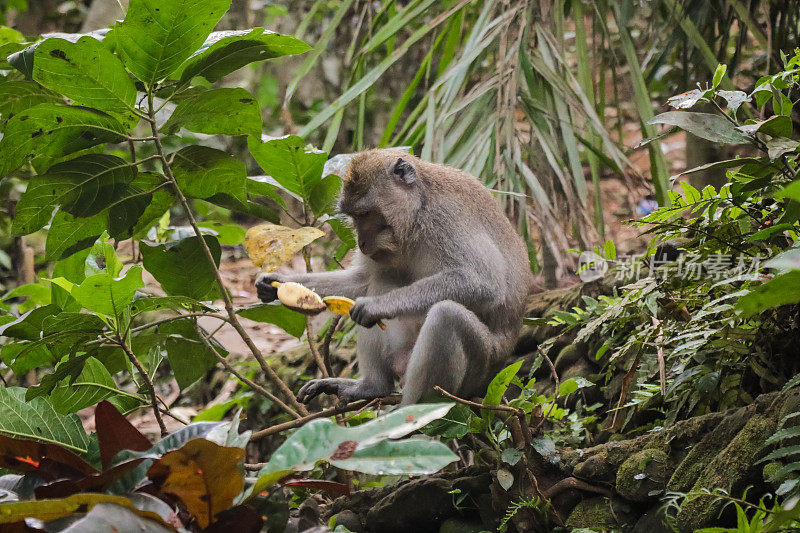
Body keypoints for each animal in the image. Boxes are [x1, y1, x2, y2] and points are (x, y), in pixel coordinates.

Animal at [256, 149, 532, 404]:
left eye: (365, 214)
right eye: (354, 217)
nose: (361, 242)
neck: (417, 213)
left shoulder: (446, 217)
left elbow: (484, 283)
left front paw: (376, 306)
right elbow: (362, 280)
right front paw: (274, 283)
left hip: (482, 368)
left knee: (446, 317)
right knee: (382, 280)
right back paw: (372, 387)